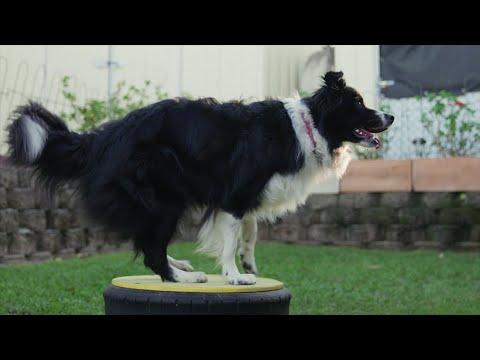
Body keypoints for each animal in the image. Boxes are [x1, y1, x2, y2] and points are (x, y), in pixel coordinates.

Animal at [5, 71, 394, 284]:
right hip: (163, 198)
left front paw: (249, 262)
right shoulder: (234, 193)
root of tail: (102, 138)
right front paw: (235, 276)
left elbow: (250, 231)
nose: (389, 116)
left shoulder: (246, 195)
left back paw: (180, 265)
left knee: (146, 243)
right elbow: (231, 237)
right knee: (151, 251)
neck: (311, 124)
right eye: (359, 104)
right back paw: (182, 277)